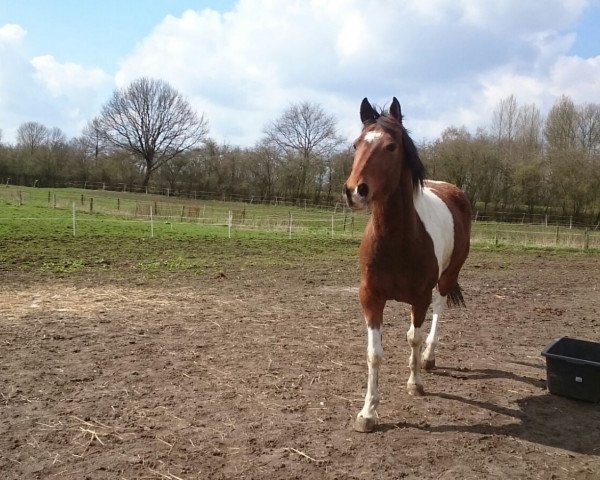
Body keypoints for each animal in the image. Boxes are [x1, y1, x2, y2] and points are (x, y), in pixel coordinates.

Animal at [344, 96, 472, 432]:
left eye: (391, 147)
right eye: (356, 145)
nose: (355, 191)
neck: (398, 239)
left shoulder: (420, 298)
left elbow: (413, 337)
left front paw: (415, 383)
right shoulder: (371, 297)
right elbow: (374, 354)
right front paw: (368, 413)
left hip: (447, 277)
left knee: (439, 311)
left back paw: (427, 358)